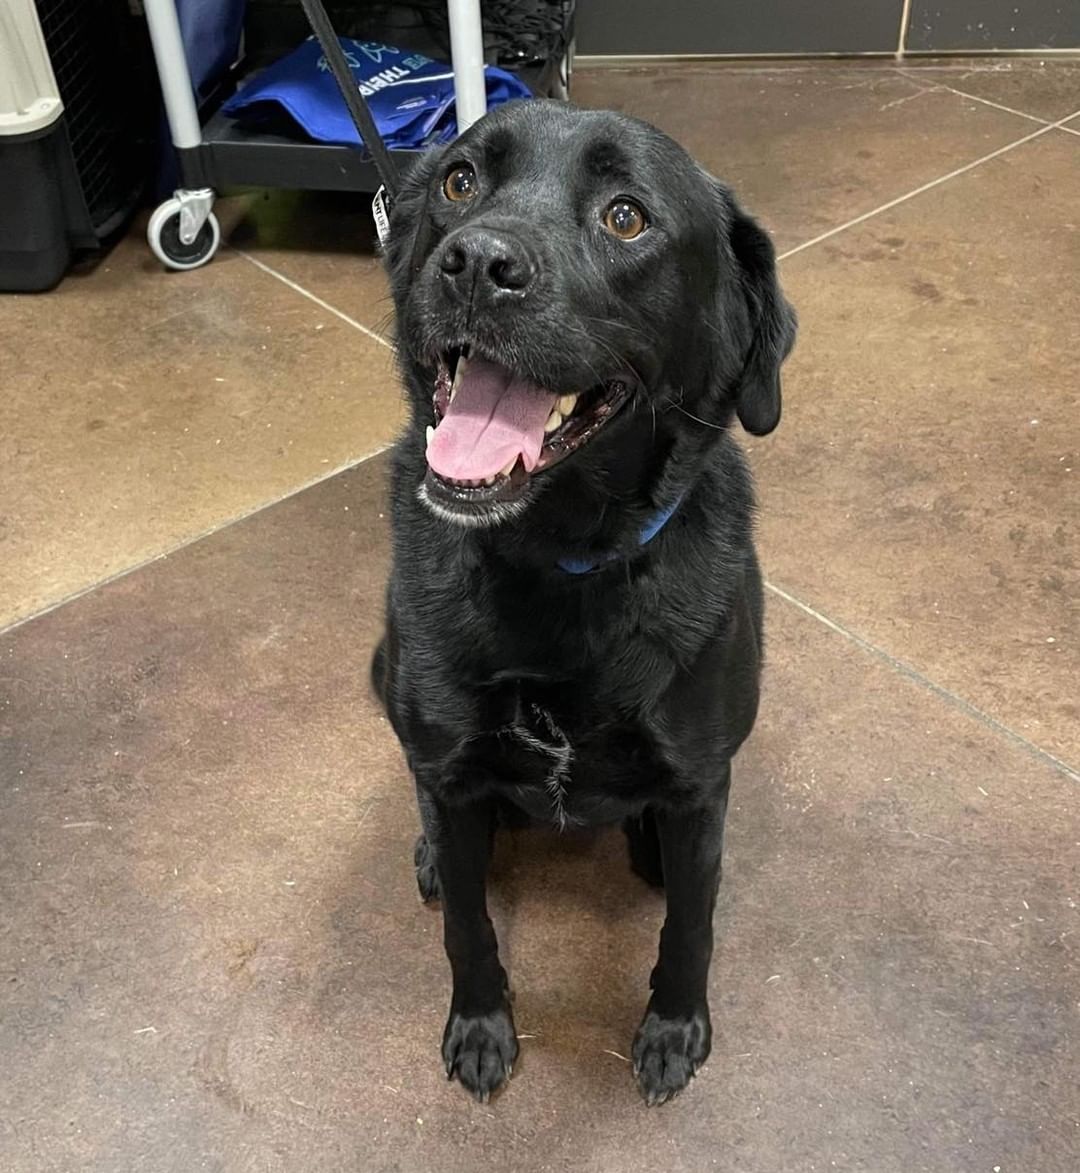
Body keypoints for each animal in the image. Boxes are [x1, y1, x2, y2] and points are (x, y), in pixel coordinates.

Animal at [370, 98, 792, 1097]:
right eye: (459, 180)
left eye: (626, 217)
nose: (477, 263)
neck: (557, 563)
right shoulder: (453, 772)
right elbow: (468, 926)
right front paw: (481, 1025)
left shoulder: (700, 784)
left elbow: (691, 925)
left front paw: (674, 1028)